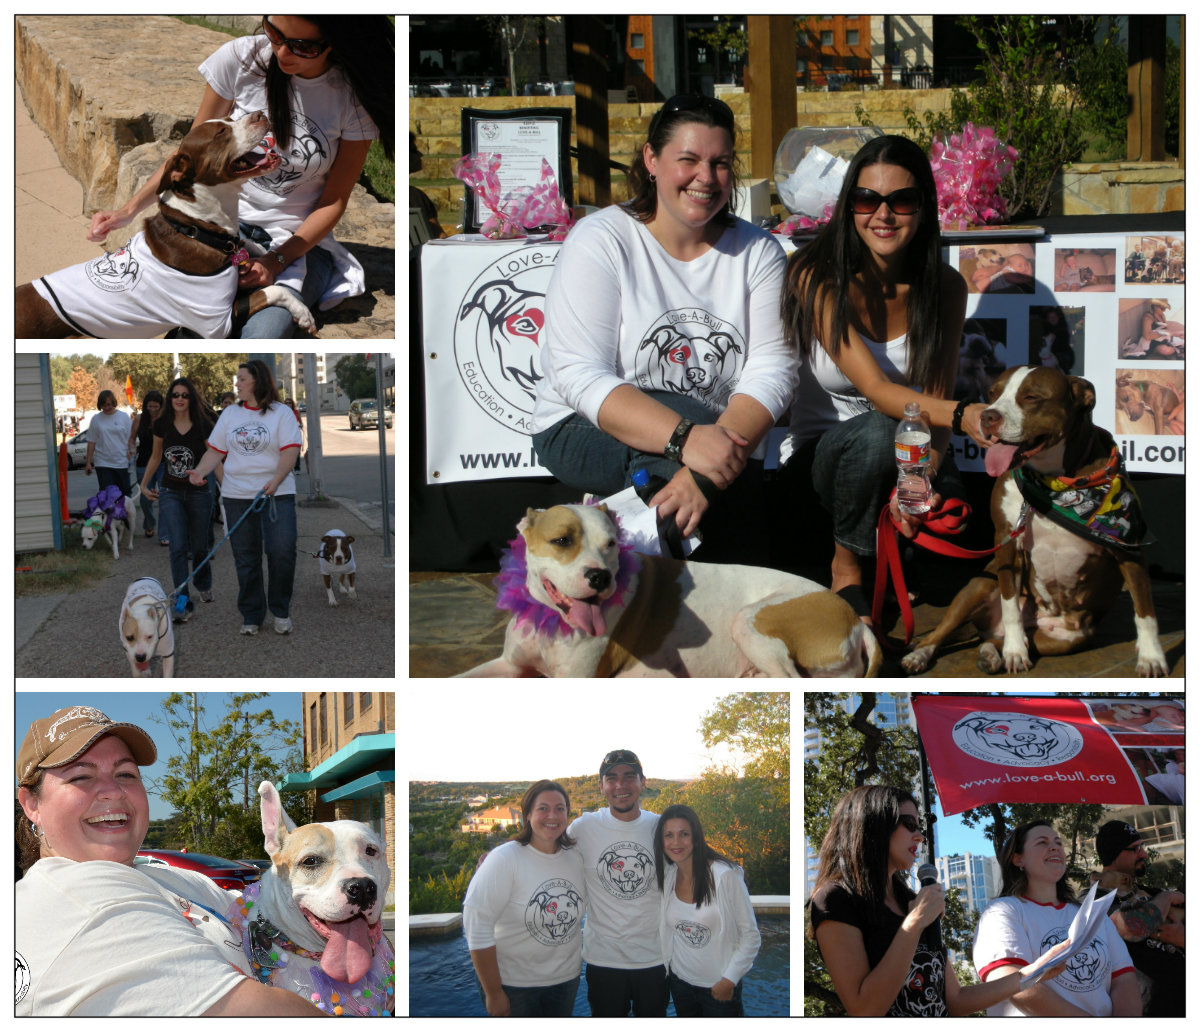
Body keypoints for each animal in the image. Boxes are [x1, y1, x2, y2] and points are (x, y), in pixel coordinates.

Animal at [15, 111, 314, 340]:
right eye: (220, 132)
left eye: (230, 119)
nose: (260, 114)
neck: (195, 227)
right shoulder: (217, 324)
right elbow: (270, 291)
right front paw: (304, 313)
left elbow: (249, 245)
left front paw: (267, 251)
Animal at [458, 499, 883, 676]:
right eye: (562, 540)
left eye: (611, 543)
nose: (600, 577)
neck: (550, 618)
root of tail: (856, 621)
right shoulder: (509, 665)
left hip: (750, 621)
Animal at [902, 364, 1166, 676]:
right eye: (992, 393)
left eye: (1031, 397)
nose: (987, 415)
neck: (1053, 480)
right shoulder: (1005, 540)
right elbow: (1010, 606)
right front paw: (1016, 650)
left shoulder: (1129, 548)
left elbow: (1145, 611)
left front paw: (1152, 657)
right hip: (979, 586)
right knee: (942, 631)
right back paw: (922, 654)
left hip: (1067, 638)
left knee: (996, 639)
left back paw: (992, 654)